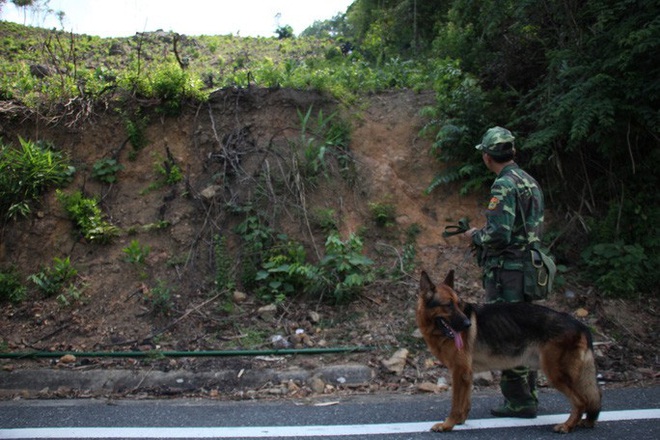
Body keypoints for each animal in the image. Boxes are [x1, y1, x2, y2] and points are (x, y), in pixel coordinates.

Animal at [420, 270, 600, 432]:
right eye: (448, 305)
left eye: (458, 304)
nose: (467, 325)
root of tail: (580, 324)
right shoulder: (466, 374)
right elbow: (465, 402)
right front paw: (460, 421)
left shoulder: (459, 372)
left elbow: (456, 404)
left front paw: (447, 425)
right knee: (591, 398)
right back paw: (585, 422)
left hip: (556, 375)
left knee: (581, 401)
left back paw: (567, 426)